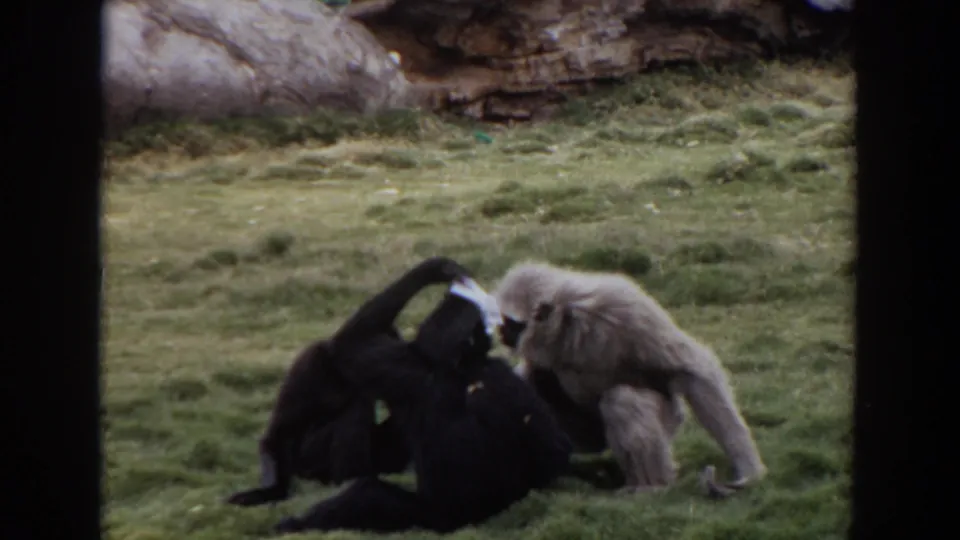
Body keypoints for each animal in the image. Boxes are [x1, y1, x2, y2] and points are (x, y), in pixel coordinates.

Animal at [493, 261, 766, 498]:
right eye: (504, 321)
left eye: (511, 323)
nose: (502, 331)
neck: (566, 321)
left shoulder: (621, 306)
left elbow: (694, 371)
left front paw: (749, 470)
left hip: (667, 419)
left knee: (622, 400)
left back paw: (651, 486)